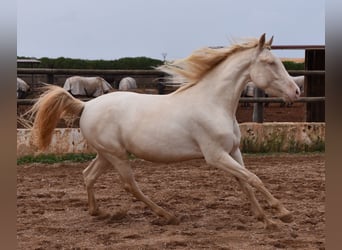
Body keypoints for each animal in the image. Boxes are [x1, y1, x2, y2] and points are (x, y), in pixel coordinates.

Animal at [30, 34, 300, 229]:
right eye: (270, 63)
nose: (296, 92)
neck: (213, 103)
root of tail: (86, 105)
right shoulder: (215, 156)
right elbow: (253, 178)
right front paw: (283, 213)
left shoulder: (233, 152)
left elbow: (245, 181)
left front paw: (265, 218)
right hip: (117, 155)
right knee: (130, 185)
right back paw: (167, 215)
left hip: (106, 155)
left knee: (88, 175)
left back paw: (97, 211)